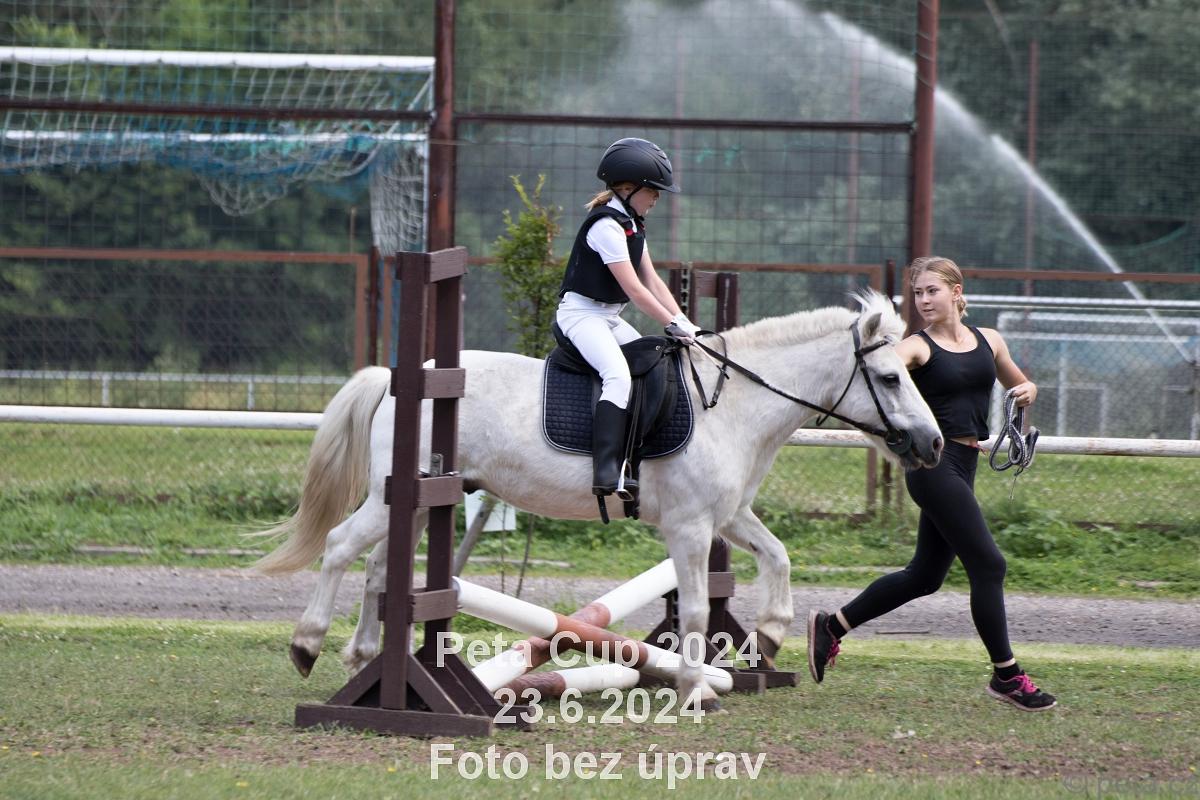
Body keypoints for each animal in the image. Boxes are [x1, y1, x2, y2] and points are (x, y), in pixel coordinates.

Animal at [251, 290, 943, 710]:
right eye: (889, 378)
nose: (933, 444)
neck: (733, 404)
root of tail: (402, 378)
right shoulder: (690, 528)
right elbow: (695, 611)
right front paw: (694, 688)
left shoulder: (727, 517)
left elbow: (778, 556)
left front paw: (769, 637)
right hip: (395, 500)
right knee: (340, 546)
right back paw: (308, 644)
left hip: (418, 503)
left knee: (375, 568)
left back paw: (362, 656)